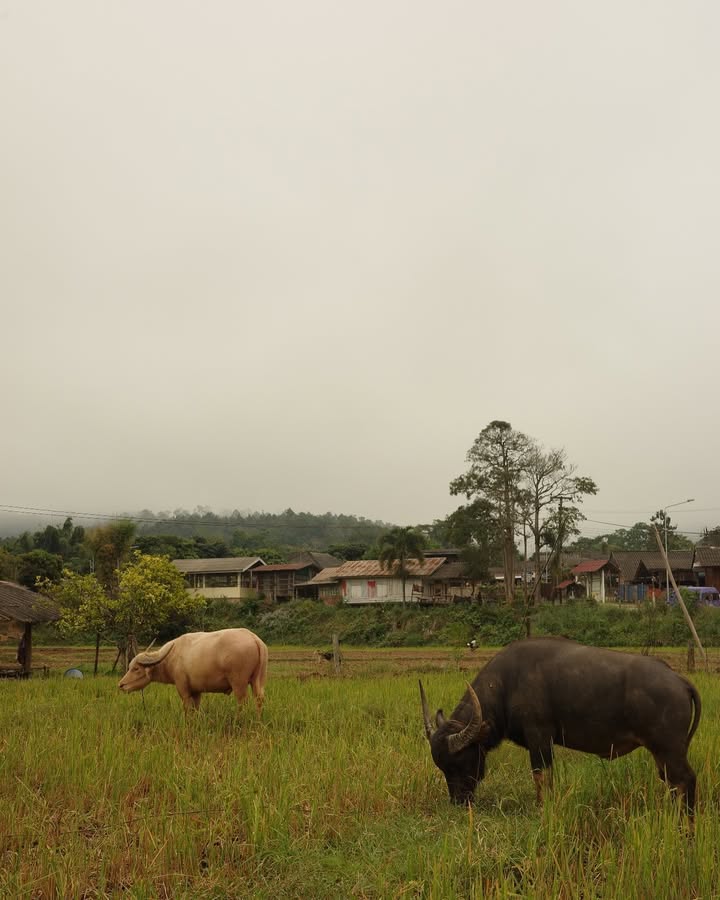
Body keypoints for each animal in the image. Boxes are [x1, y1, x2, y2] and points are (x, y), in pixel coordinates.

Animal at [119, 628, 268, 712]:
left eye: (136, 668)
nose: (121, 685)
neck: (171, 657)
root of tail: (254, 639)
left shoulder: (183, 689)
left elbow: (187, 709)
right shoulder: (197, 691)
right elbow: (196, 709)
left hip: (239, 683)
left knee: (242, 702)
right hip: (258, 680)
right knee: (259, 699)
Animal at [420, 636, 700, 820]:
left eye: (459, 762)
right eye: (441, 767)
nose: (458, 802)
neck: (506, 685)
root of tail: (678, 679)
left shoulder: (540, 739)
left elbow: (541, 778)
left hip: (669, 751)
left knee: (685, 780)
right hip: (663, 755)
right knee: (672, 783)